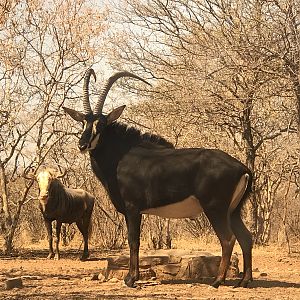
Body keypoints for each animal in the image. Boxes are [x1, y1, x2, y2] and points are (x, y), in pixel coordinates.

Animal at [63, 68, 253, 288]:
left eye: (101, 125)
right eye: (83, 122)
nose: (82, 145)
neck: (121, 155)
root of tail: (241, 167)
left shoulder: (132, 209)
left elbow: (133, 240)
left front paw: (131, 278)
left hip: (215, 208)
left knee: (228, 239)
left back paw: (217, 281)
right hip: (233, 211)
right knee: (246, 238)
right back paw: (245, 281)